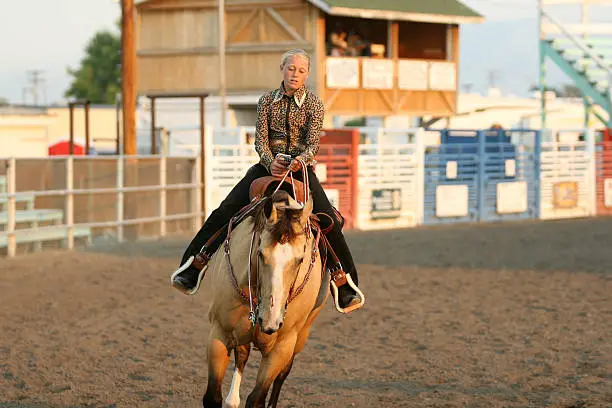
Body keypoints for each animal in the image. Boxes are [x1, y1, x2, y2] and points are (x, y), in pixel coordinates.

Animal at [192, 163, 364, 408]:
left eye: (300, 259)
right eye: (260, 253)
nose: (270, 321)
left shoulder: (282, 346)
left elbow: (257, 398)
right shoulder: (219, 333)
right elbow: (212, 396)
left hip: (302, 334)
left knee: (282, 374)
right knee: (242, 356)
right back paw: (232, 398)